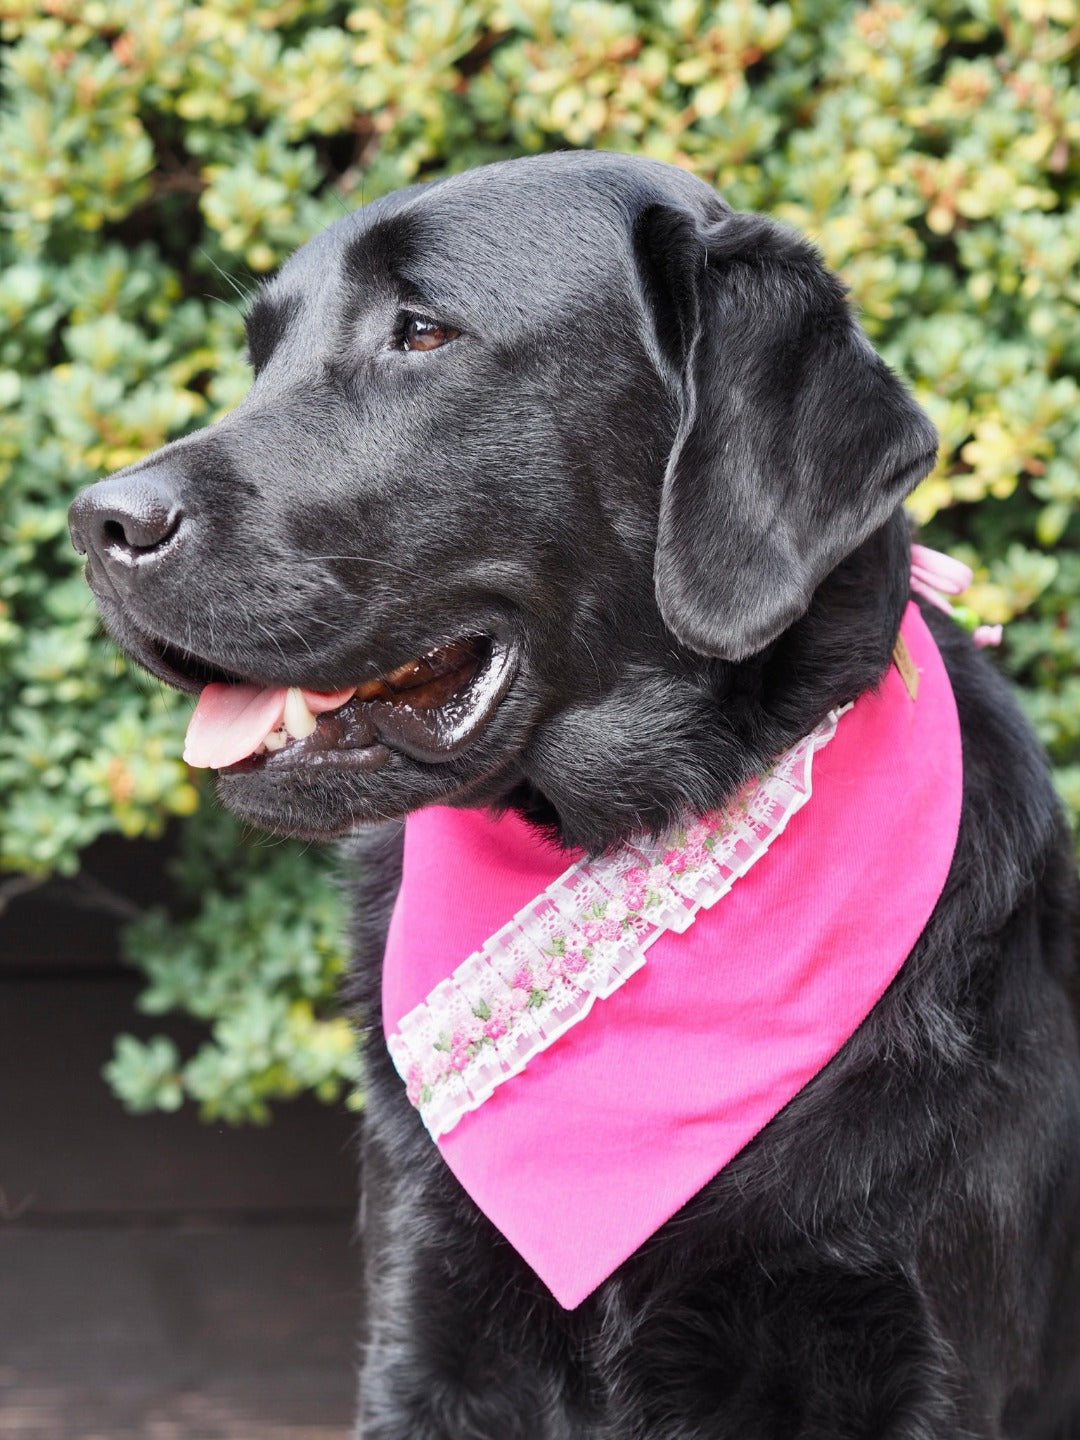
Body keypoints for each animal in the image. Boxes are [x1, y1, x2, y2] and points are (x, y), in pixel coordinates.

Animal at [69, 151, 1080, 1434]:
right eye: (262, 355)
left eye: (422, 331)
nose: (98, 521)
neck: (620, 845)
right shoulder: (425, 1327)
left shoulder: (921, 1359)